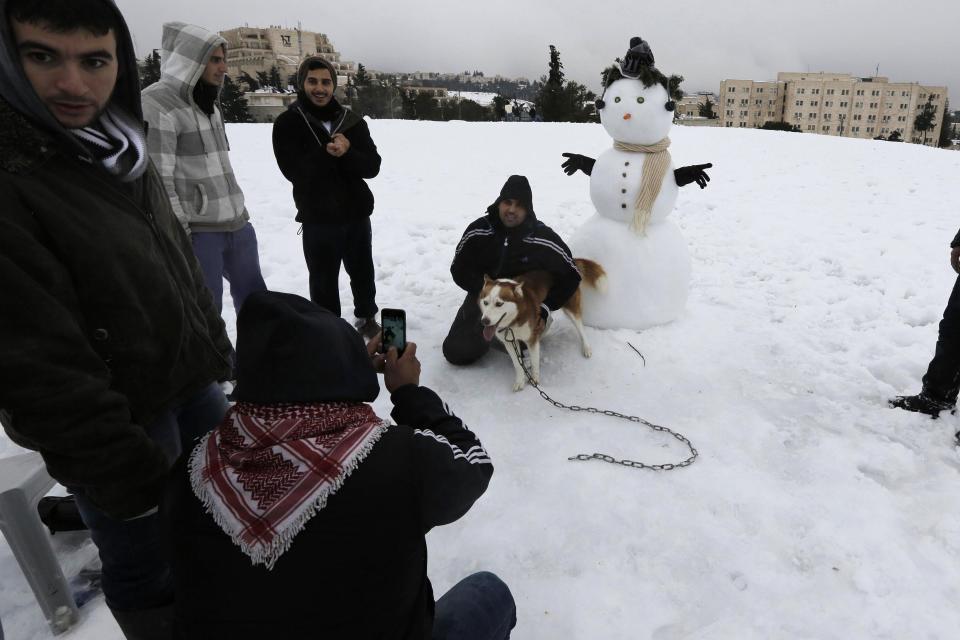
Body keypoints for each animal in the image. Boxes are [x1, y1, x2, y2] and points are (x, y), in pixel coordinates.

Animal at [480, 258, 608, 390]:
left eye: (499, 304)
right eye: (485, 302)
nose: (484, 321)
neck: (514, 321)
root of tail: (569, 263)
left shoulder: (531, 340)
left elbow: (535, 362)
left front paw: (534, 380)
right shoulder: (509, 342)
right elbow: (517, 364)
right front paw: (520, 381)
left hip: (570, 307)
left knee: (580, 328)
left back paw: (586, 347)